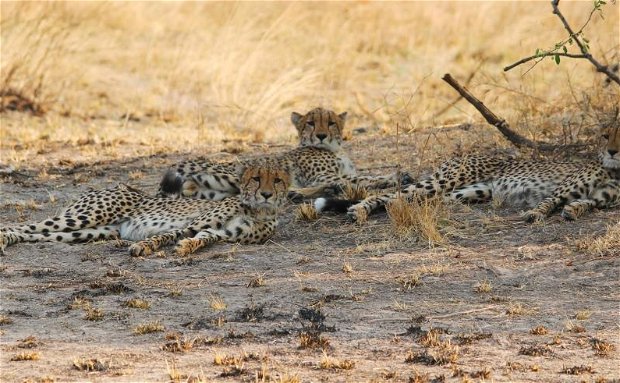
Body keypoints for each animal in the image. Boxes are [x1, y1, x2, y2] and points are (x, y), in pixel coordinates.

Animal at [0, 161, 290, 255]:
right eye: (256, 178)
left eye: (277, 180)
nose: (266, 194)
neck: (258, 210)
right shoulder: (193, 223)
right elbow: (166, 235)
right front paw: (142, 247)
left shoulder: (219, 233)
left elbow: (203, 239)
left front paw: (187, 247)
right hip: (86, 216)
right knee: (22, 225)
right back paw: (4, 237)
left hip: (94, 231)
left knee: (36, 234)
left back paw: (10, 240)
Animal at [157, 108, 410, 202]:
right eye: (310, 123)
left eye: (331, 123)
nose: (320, 136)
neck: (334, 150)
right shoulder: (322, 176)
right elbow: (360, 178)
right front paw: (395, 177)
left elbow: (360, 176)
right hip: (228, 175)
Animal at [318, 127, 616, 222]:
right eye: (607, 135)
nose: (613, 151)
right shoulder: (561, 188)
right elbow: (549, 202)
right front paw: (536, 214)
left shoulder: (604, 198)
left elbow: (587, 203)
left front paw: (574, 210)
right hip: (447, 180)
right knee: (392, 194)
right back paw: (359, 210)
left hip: (473, 191)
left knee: (408, 201)